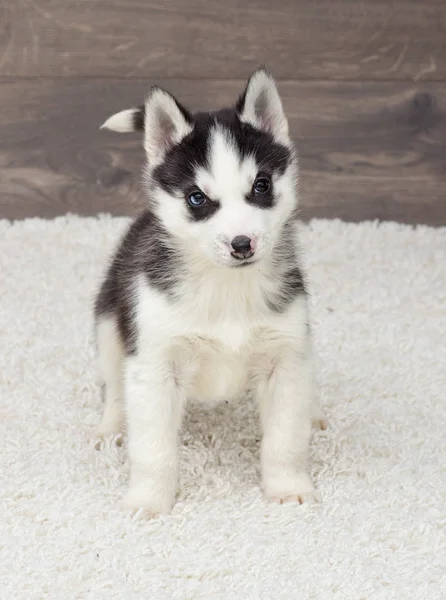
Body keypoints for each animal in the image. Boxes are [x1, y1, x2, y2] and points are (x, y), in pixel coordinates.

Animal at [95, 67, 324, 516]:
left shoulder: (286, 358)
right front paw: (149, 499)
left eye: (262, 185)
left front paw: (287, 487)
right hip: (110, 325)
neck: (225, 288)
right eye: (197, 198)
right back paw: (110, 427)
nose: (242, 244)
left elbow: (286, 439)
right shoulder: (154, 364)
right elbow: (153, 448)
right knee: (114, 386)